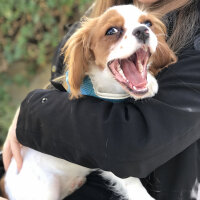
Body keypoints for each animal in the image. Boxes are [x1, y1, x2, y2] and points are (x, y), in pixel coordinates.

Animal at [1, 4, 177, 200]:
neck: (109, 92)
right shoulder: (106, 153)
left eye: (148, 23)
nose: (143, 30)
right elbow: (131, 181)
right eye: (112, 30)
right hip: (44, 191)